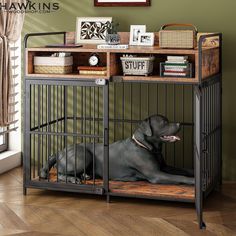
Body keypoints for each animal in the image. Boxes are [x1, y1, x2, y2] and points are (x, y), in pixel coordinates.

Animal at [40, 115, 195, 185]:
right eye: (163, 122)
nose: (179, 123)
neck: (145, 146)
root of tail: (60, 152)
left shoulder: (164, 167)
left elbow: (183, 170)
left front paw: (194, 173)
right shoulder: (156, 174)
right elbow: (179, 177)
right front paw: (193, 181)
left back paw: (85, 176)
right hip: (83, 156)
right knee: (59, 173)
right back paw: (74, 179)